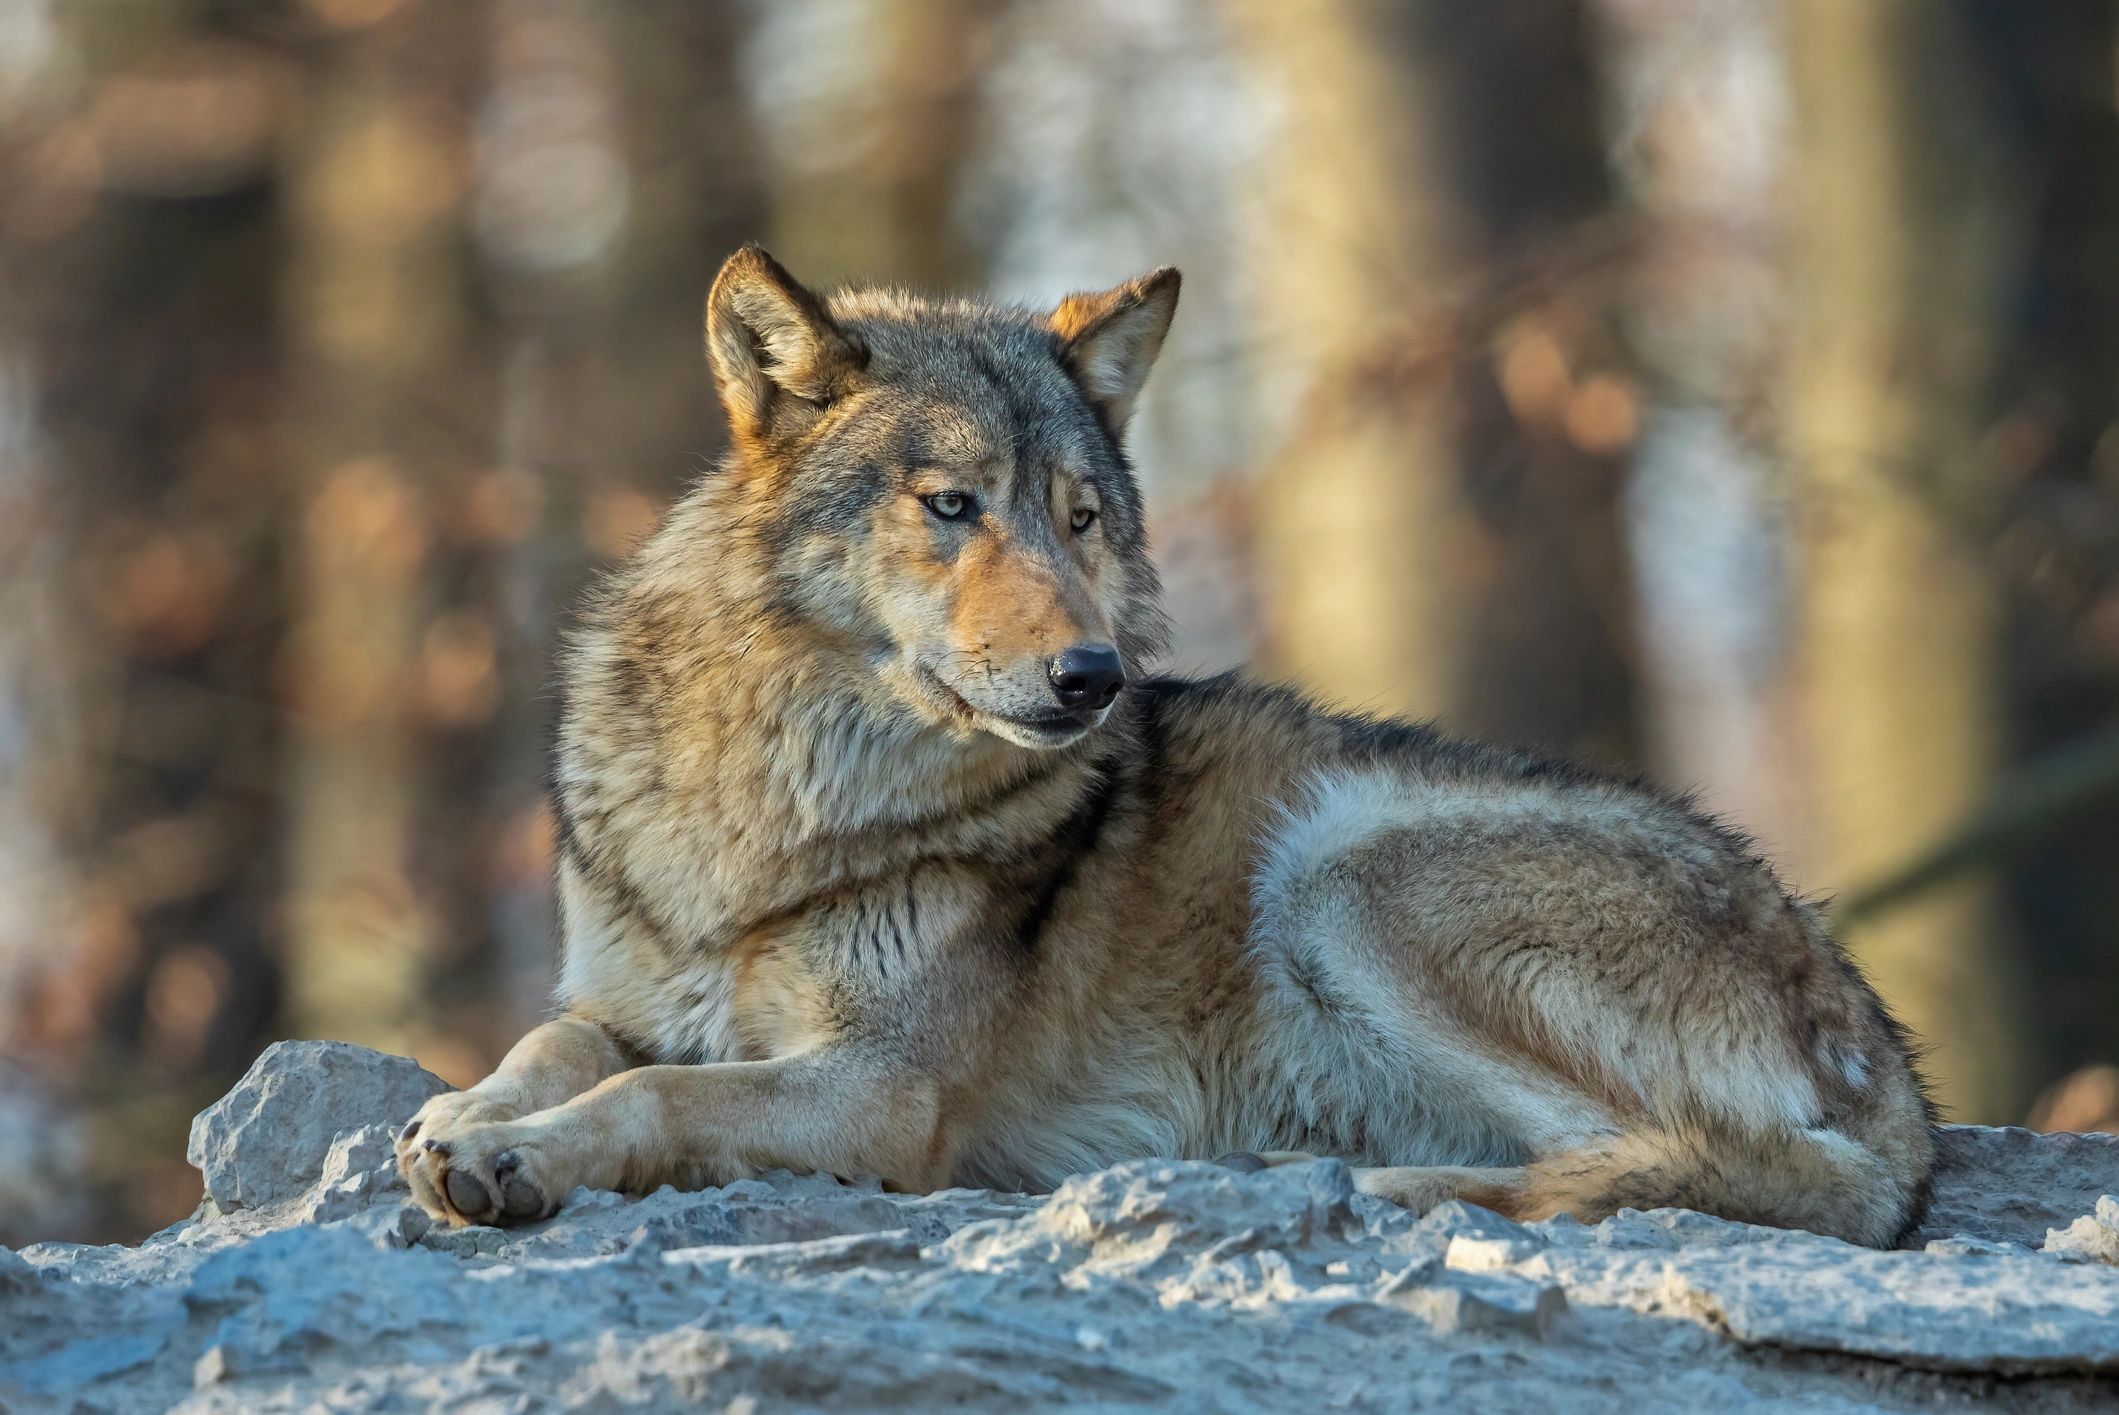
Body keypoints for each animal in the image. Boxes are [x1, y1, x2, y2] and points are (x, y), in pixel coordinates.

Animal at [395, 245, 1935, 1246]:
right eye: (952, 504)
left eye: (1080, 517)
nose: (1089, 676)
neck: (779, 805)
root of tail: (1882, 1048)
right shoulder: (624, 993)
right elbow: (556, 1036)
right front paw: (464, 1118)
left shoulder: (875, 1094)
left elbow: (654, 1090)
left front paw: (515, 1153)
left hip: (1337, 871)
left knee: (1718, 1167)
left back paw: (1355, 1191)